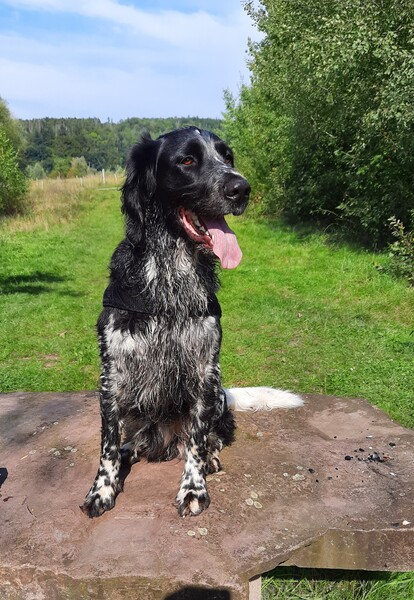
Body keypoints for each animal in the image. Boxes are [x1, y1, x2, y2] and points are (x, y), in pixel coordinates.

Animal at [81, 127, 302, 520]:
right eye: (186, 160)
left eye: (227, 157)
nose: (241, 188)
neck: (171, 275)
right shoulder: (112, 375)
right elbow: (107, 443)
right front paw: (102, 489)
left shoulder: (204, 370)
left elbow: (197, 440)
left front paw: (194, 487)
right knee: (131, 441)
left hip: (217, 394)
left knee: (208, 437)